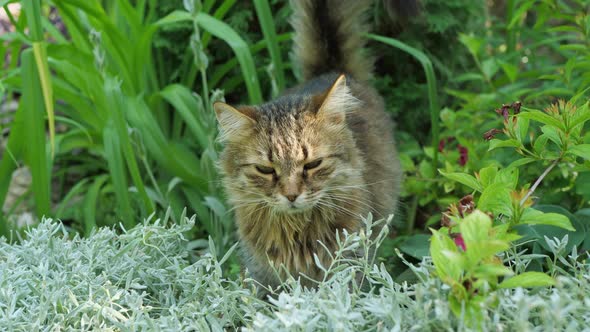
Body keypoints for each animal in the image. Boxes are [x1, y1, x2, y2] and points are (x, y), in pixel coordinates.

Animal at [215, 0, 404, 290]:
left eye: (313, 164)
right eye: (266, 170)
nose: (292, 195)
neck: (296, 232)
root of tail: (330, 70)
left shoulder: (348, 268)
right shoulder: (261, 276)